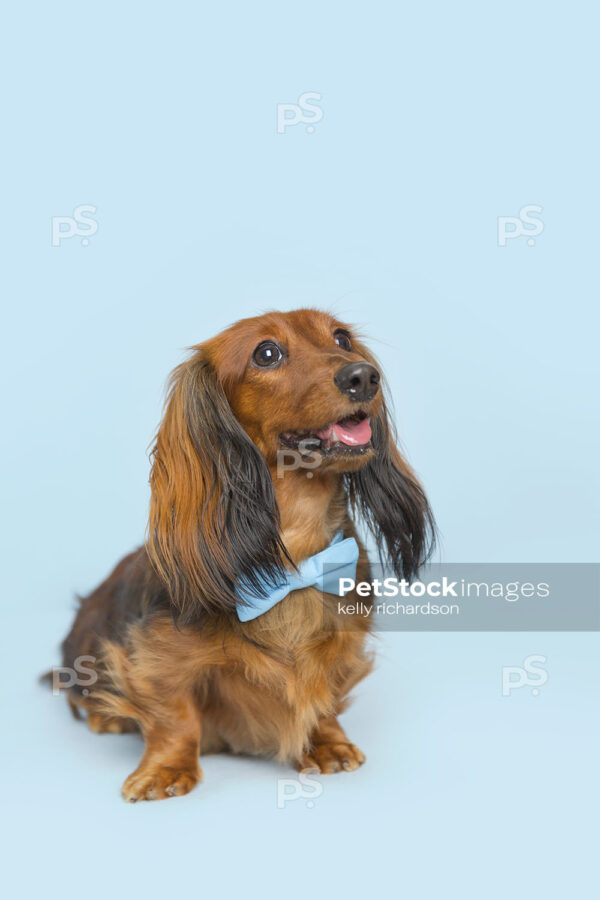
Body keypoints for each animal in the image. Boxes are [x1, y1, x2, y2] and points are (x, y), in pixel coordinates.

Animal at [56, 310, 434, 800]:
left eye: (342, 338)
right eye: (266, 353)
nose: (364, 376)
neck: (292, 557)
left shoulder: (343, 643)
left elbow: (326, 696)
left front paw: (327, 743)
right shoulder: (155, 657)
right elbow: (174, 716)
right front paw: (166, 770)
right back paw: (105, 716)